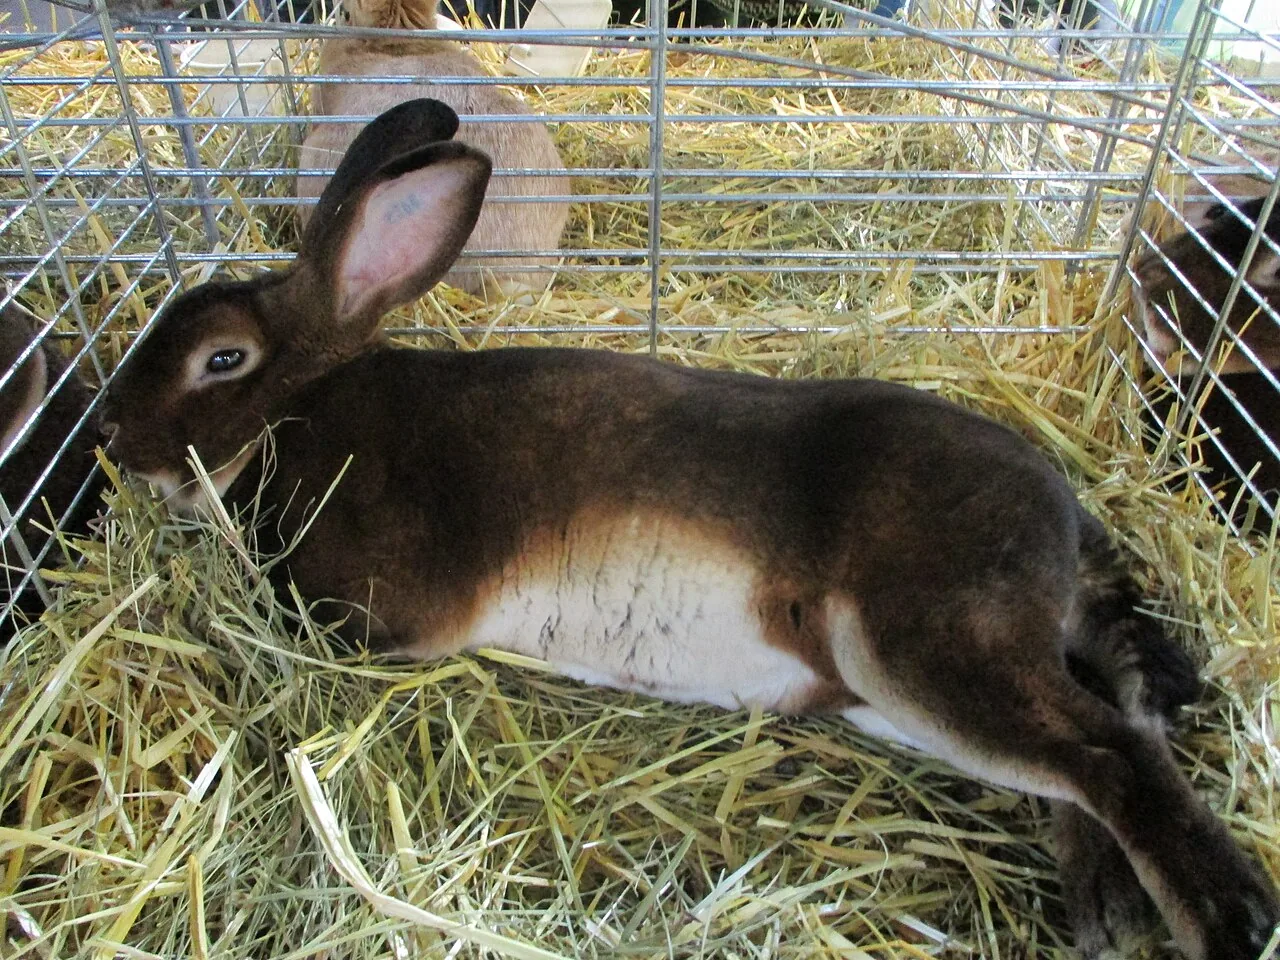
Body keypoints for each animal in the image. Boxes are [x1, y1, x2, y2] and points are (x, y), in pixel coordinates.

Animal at [101, 99, 1279, 960]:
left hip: (920, 643)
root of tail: (1062, 511)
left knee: (1112, 750)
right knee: (1095, 747)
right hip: (899, 695)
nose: (109, 431)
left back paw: (1224, 919)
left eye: (220, 359)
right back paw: (1106, 909)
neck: (298, 405)